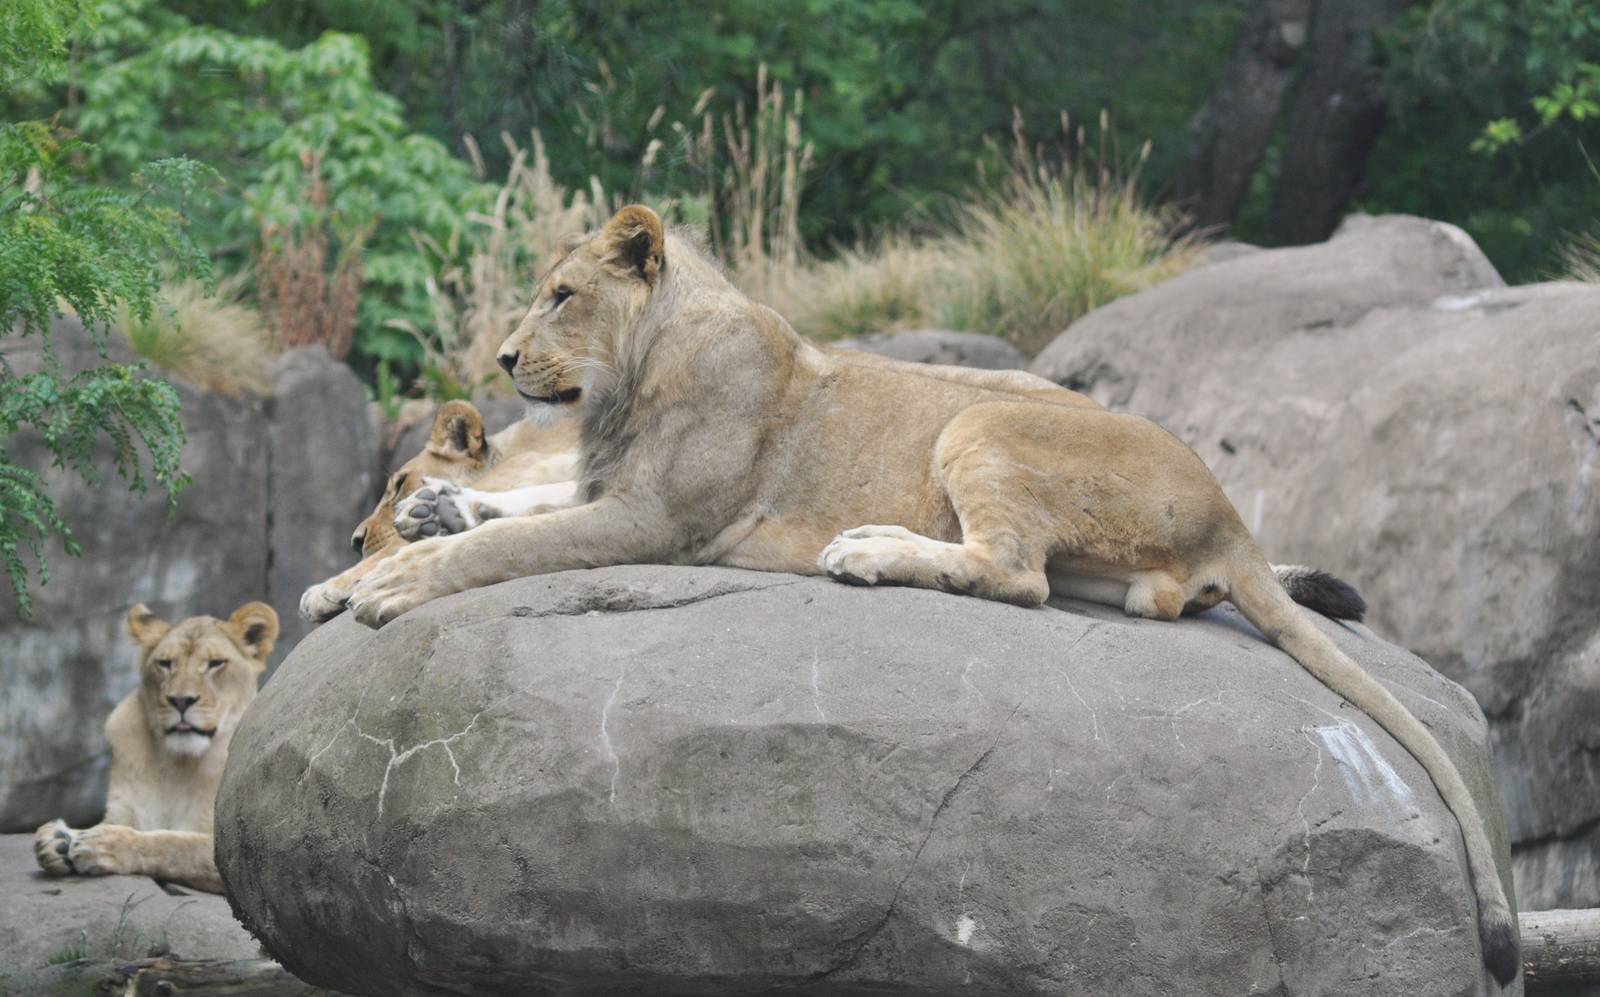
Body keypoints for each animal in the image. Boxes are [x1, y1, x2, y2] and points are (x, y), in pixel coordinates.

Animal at [34, 602, 279, 894]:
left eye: (215, 663)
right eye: (165, 663)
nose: (181, 701)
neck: (177, 766)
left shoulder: (236, 849)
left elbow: (176, 844)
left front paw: (105, 844)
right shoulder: (123, 809)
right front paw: (57, 840)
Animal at [343, 204, 1516, 982]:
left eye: (563, 295)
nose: (503, 357)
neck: (633, 379)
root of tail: (1233, 512)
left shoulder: (652, 520)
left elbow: (510, 544)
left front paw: (394, 579)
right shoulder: (608, 493)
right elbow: (515, 510)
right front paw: (420, 519)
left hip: (980, 418)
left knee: (1016, 573)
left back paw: (866, 550)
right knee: (1108, 591)